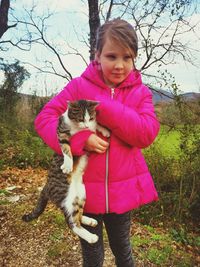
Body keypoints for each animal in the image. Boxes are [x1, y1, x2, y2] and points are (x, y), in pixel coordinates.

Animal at [22, 100, 109, 245]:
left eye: (90, 118)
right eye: (80, 119)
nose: (86, 125)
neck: (78, 127)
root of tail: (47, 186)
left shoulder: (90, 125)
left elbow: (96, 124)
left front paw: (105, 130)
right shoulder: (61, 132)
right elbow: (66, 149)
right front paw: (68, 165)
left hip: (81, 193)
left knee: (78, 215)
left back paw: (89, 220)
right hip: (66, 197)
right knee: (71, 223)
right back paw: (91, 237)